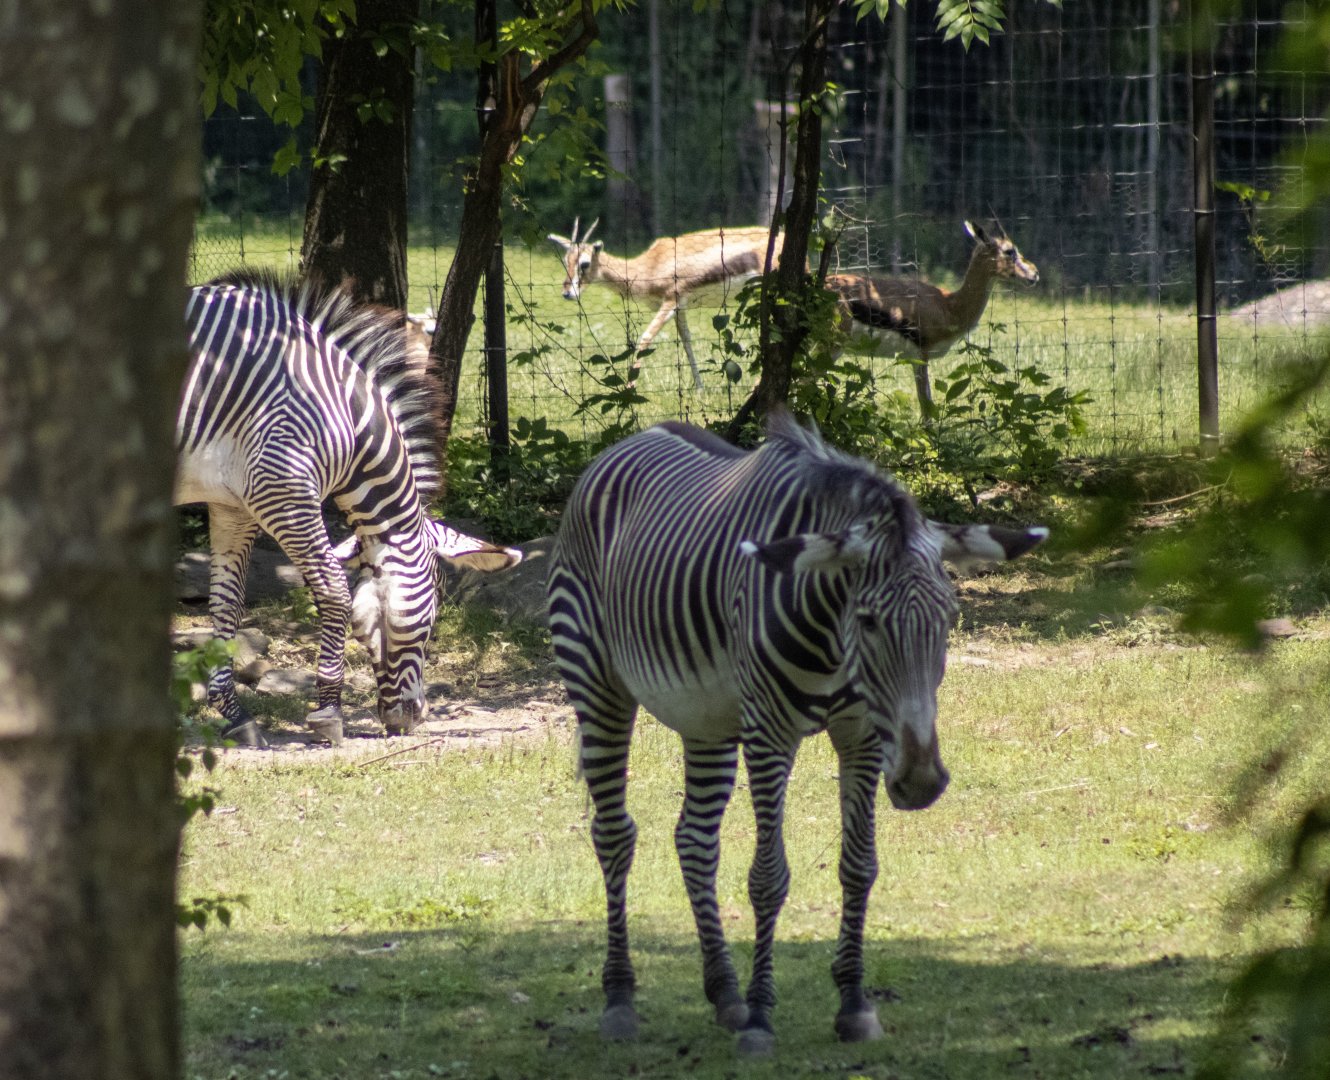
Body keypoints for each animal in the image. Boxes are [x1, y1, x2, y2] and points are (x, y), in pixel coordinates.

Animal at [176, 269, 521, 749]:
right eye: (433, 618)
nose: (416, 718)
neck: (348, 421)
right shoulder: (282, 491)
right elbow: (333, 588)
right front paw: (328, 711)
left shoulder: (233, 505)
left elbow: (227, 604)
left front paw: (235, 715)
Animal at [546, 410, 1046, 1054]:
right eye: (868, 621)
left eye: (951, 619)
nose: (920, 782)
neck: (833, 639)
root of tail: (633, 438)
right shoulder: (769, 734)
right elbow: (768, 877)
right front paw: (762, 1018)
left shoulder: (861, 735)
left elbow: (859, 864)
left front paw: (854, 1004)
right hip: (595, 679)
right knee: (613, 834)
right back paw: (621, 998)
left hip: (707, 716)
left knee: (694, 839)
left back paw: (724, 993)